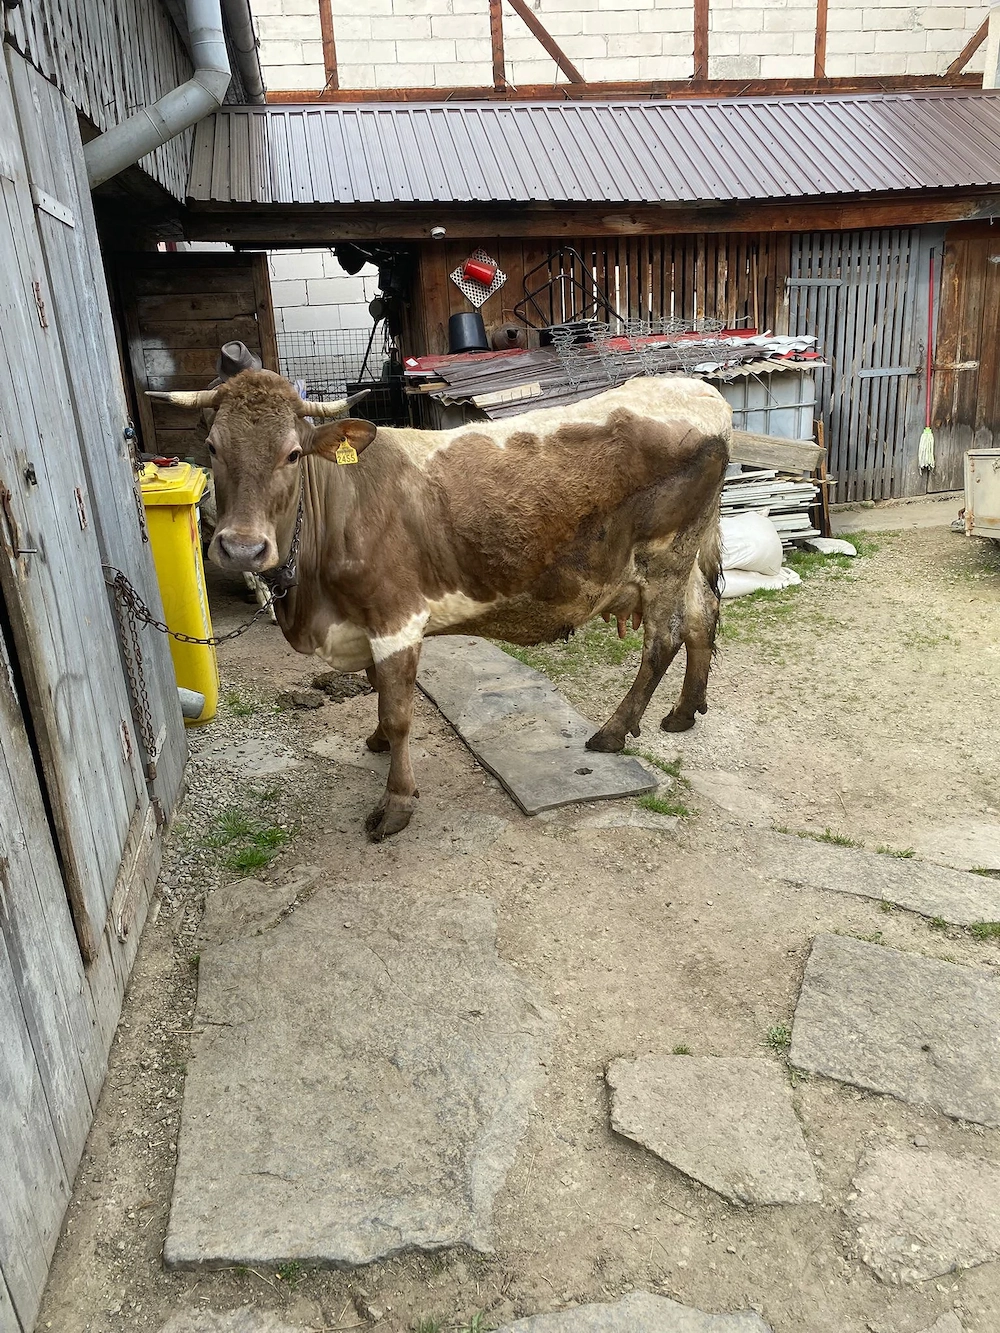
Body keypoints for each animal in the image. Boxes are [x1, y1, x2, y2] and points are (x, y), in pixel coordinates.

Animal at [150, 370, 731, 841]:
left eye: (293, 453)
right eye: (213, 446)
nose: (241, 548)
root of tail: (698, 390)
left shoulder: (396, 618)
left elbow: (399, 710)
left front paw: (395, 804)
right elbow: (378, 692)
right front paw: (377, 742)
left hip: (664, 559)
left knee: (663, 640)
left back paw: (613, 731)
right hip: (684, 560)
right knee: (702, 619)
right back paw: (684, 712)